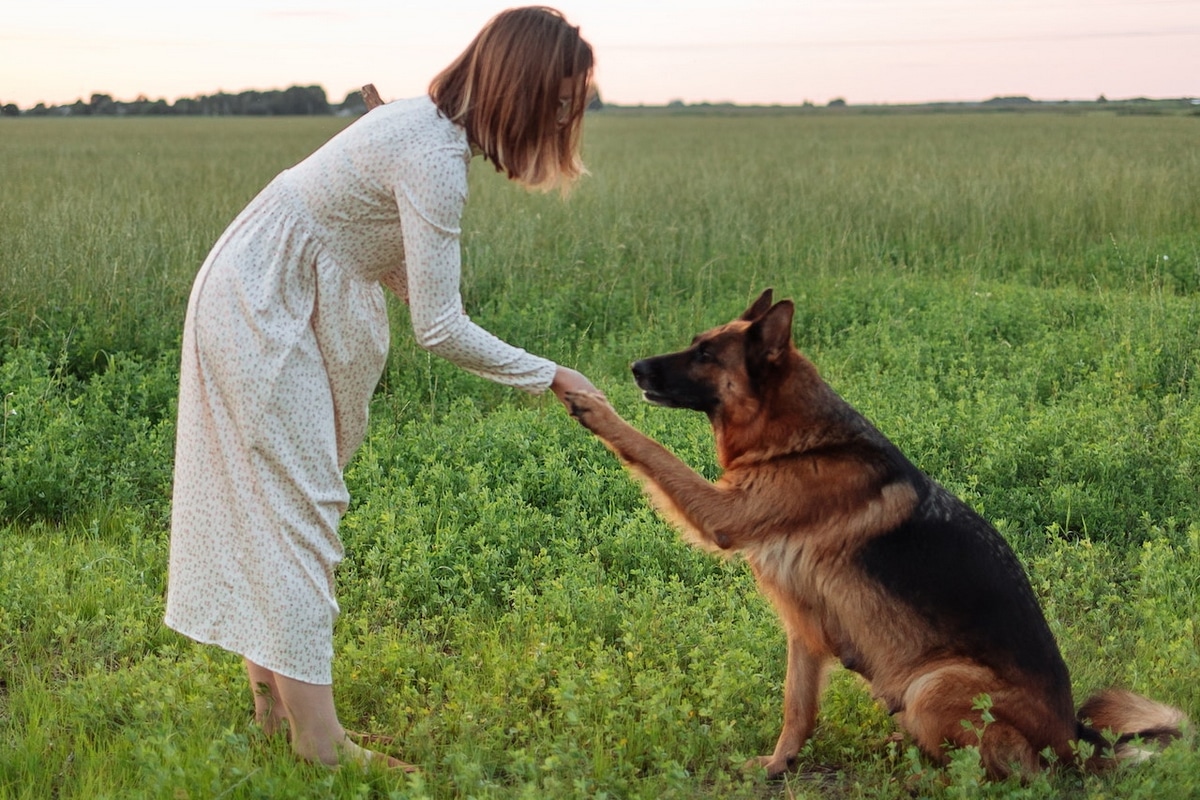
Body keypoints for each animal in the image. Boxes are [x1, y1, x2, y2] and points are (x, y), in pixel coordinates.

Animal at [566, 291, 1185, 777]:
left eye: (704, 355)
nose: (634, 367)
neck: (797, 441)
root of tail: (1076, 742)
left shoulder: (723, 514)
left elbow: (650, 450)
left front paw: (591, 405)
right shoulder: (804, 629)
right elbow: (796, 708)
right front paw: (778, 765)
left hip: (932, 685)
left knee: (1003, 771)